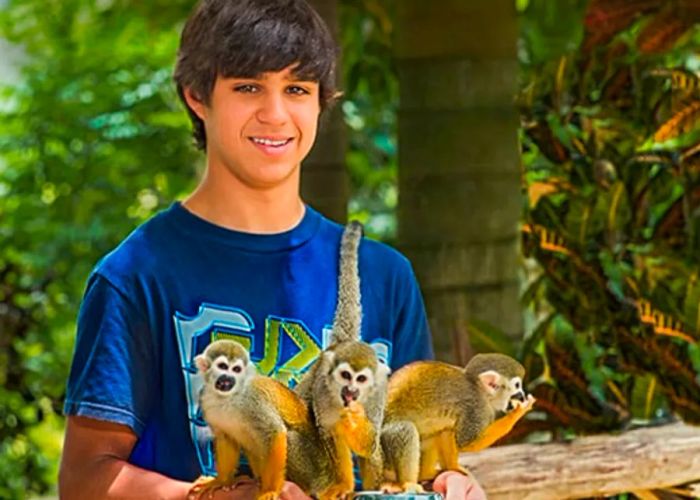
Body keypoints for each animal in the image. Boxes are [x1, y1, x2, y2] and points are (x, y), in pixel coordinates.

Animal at [191, 338, 312, 498]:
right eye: (223, 366)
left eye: (236, 369)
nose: (228, 378)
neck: (228, 398)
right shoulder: (205, 399)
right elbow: (225, 438)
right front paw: (221, 481)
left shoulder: (253, 400)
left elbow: (274, 432)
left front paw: (270, 490)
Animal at [288, 224, 392, 500]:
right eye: (345, 376)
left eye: (361, 379)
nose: (351, 390)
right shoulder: (323, 391)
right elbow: (330, 434)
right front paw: (342, 485)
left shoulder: (378, 391)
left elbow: (369, 441)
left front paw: (354, 418)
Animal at [380, 354, 532, 490]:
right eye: (517, 385)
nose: (522, 396)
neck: (479, 389)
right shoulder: (477, 408)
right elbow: (466, 443)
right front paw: (517, 414)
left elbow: (447, 431)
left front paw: (452, 467)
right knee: (407, 430)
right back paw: (408, 483)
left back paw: (426, 474)